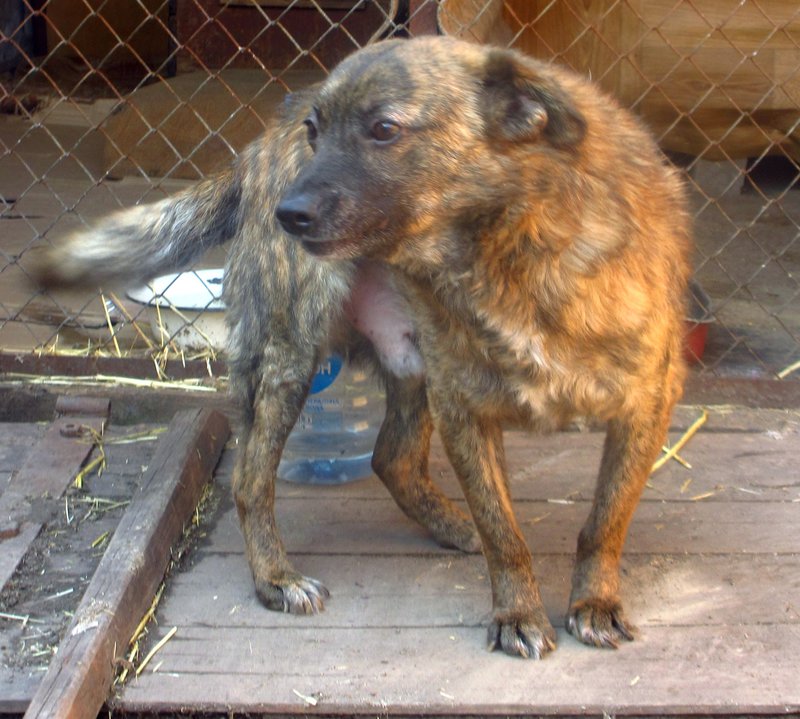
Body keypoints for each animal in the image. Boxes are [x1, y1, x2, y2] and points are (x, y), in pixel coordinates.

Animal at [34, 36, 692, 660]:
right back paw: (276, 578)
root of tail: (261, 148)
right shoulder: (466, 409)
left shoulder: (645, 407)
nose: (289, 214)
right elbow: (505, 533)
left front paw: (595, 602)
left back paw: (449, 524)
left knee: (391, 457)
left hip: (411, 361)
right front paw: (518, 615)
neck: (514, 245)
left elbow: (604, 522)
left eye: (384, 130)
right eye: (316, 132)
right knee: (251, 479)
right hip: (289, 354)